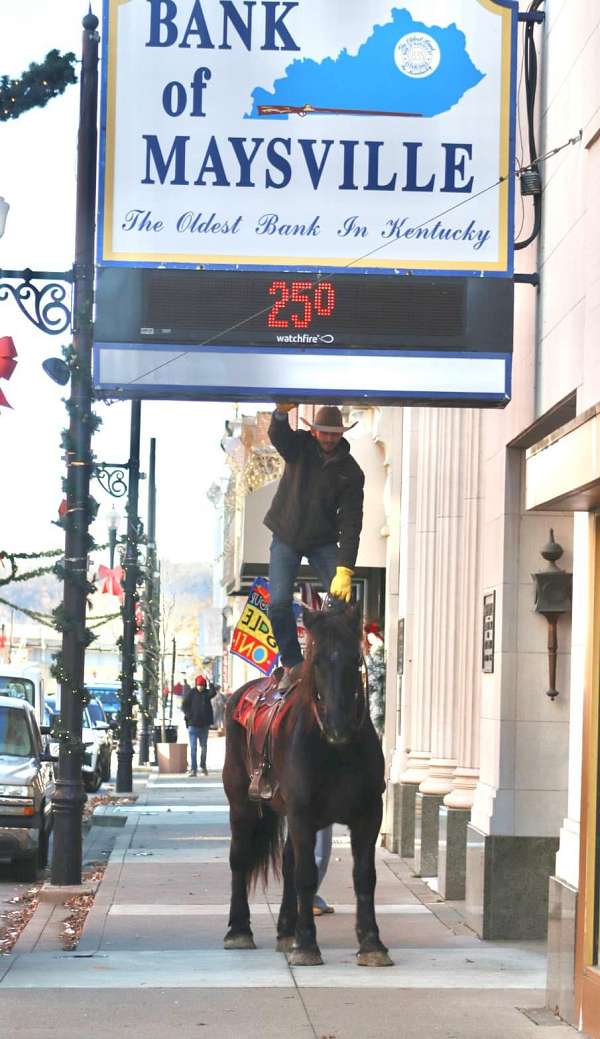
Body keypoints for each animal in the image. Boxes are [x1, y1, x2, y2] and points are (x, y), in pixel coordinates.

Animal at [222, 602, 390, 964]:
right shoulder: (302, 815)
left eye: (355, 659)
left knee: (287, 863)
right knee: (239, 858)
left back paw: (286, 931)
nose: (339, 726)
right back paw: (239, 930)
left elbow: (364, 877)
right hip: (242, 803)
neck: (335, 750)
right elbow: (306, 875)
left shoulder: (369, 815)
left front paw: (372, 943)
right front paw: (307, 944)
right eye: (317, 662)